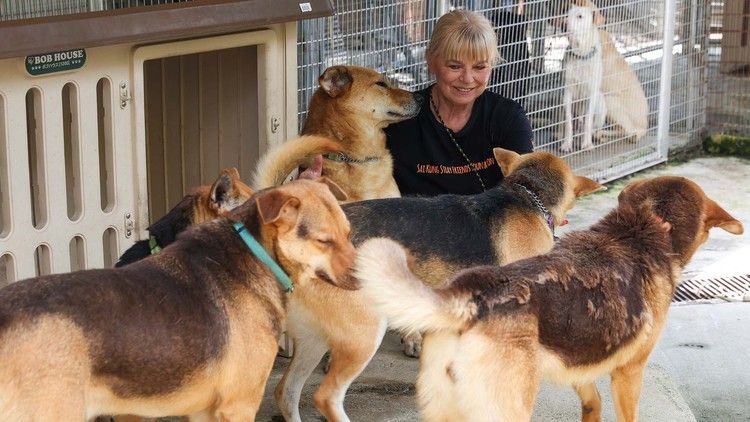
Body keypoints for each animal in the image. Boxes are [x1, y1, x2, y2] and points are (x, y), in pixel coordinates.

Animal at [0, 179, 358, 422]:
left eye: (348, 233)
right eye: (324, 241)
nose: (366, 277)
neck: (255, 252)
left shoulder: (203, 409)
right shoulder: (239, 405)